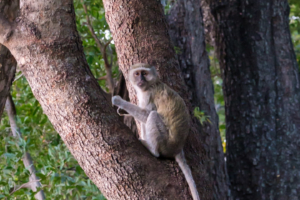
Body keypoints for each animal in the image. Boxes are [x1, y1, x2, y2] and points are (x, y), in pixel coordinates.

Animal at [111, 63, 200, 200]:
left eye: (144, 73)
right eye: (137, 73)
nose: (141, 79)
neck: (151, 84)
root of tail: (178, 147)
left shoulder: (148, 95)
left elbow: (146, 114)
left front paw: (119, 102)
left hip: (166, 143)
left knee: (152, 115)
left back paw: (152, 150)